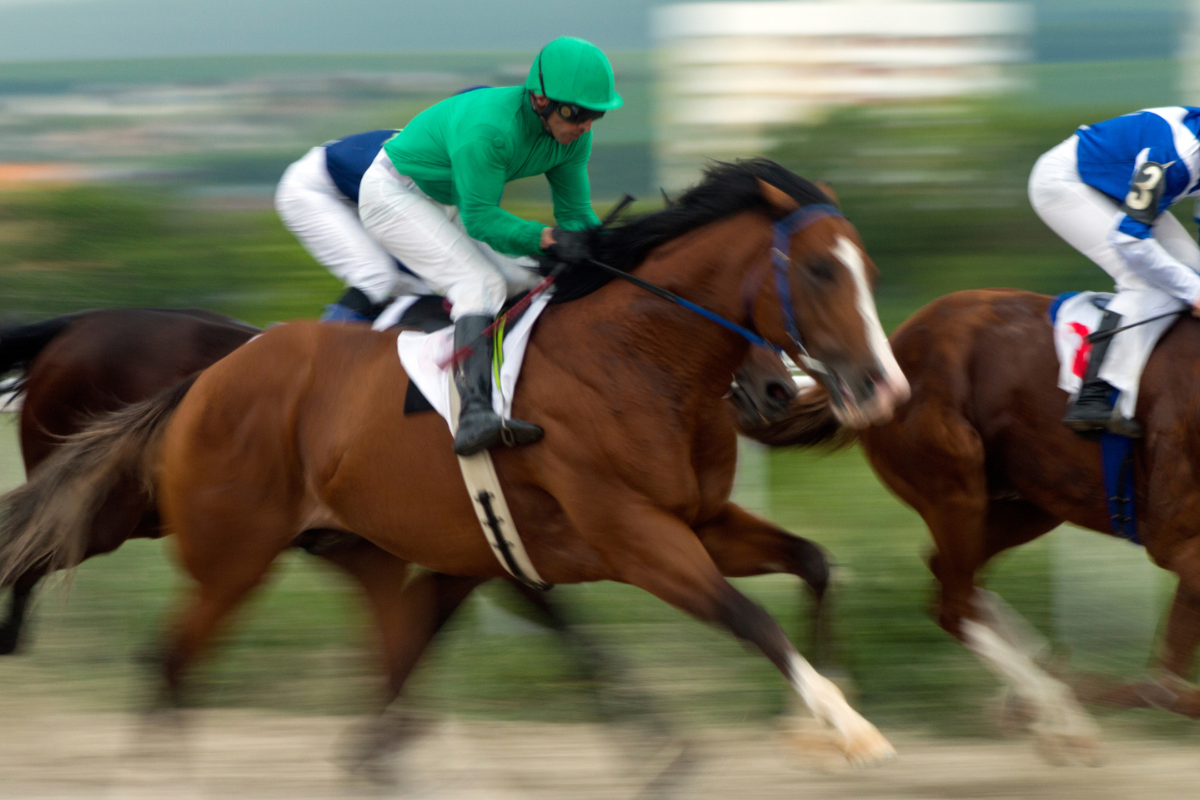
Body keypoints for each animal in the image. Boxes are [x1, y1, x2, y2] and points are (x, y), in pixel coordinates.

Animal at [0, 159, 902, 767]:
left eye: (871, 271)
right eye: (821, 270)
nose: (879, 387)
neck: (633, 361)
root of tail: (207, 379)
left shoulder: (694, 521)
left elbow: (815, 563)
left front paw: (816, 715)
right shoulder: (629, 537)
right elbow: (741, 617)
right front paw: (847, 727)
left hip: (328, 542)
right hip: (186, 535)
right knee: (96, 600)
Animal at [744, 287, 1200, 762]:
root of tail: (888, 352)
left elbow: (1166, 679)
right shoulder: (1178, 544)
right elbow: (1166, 687)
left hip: (1029, 502)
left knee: (949, 579)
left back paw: (1040, 687)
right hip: (955, 487)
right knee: (953, 603)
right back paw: (1057, 713)